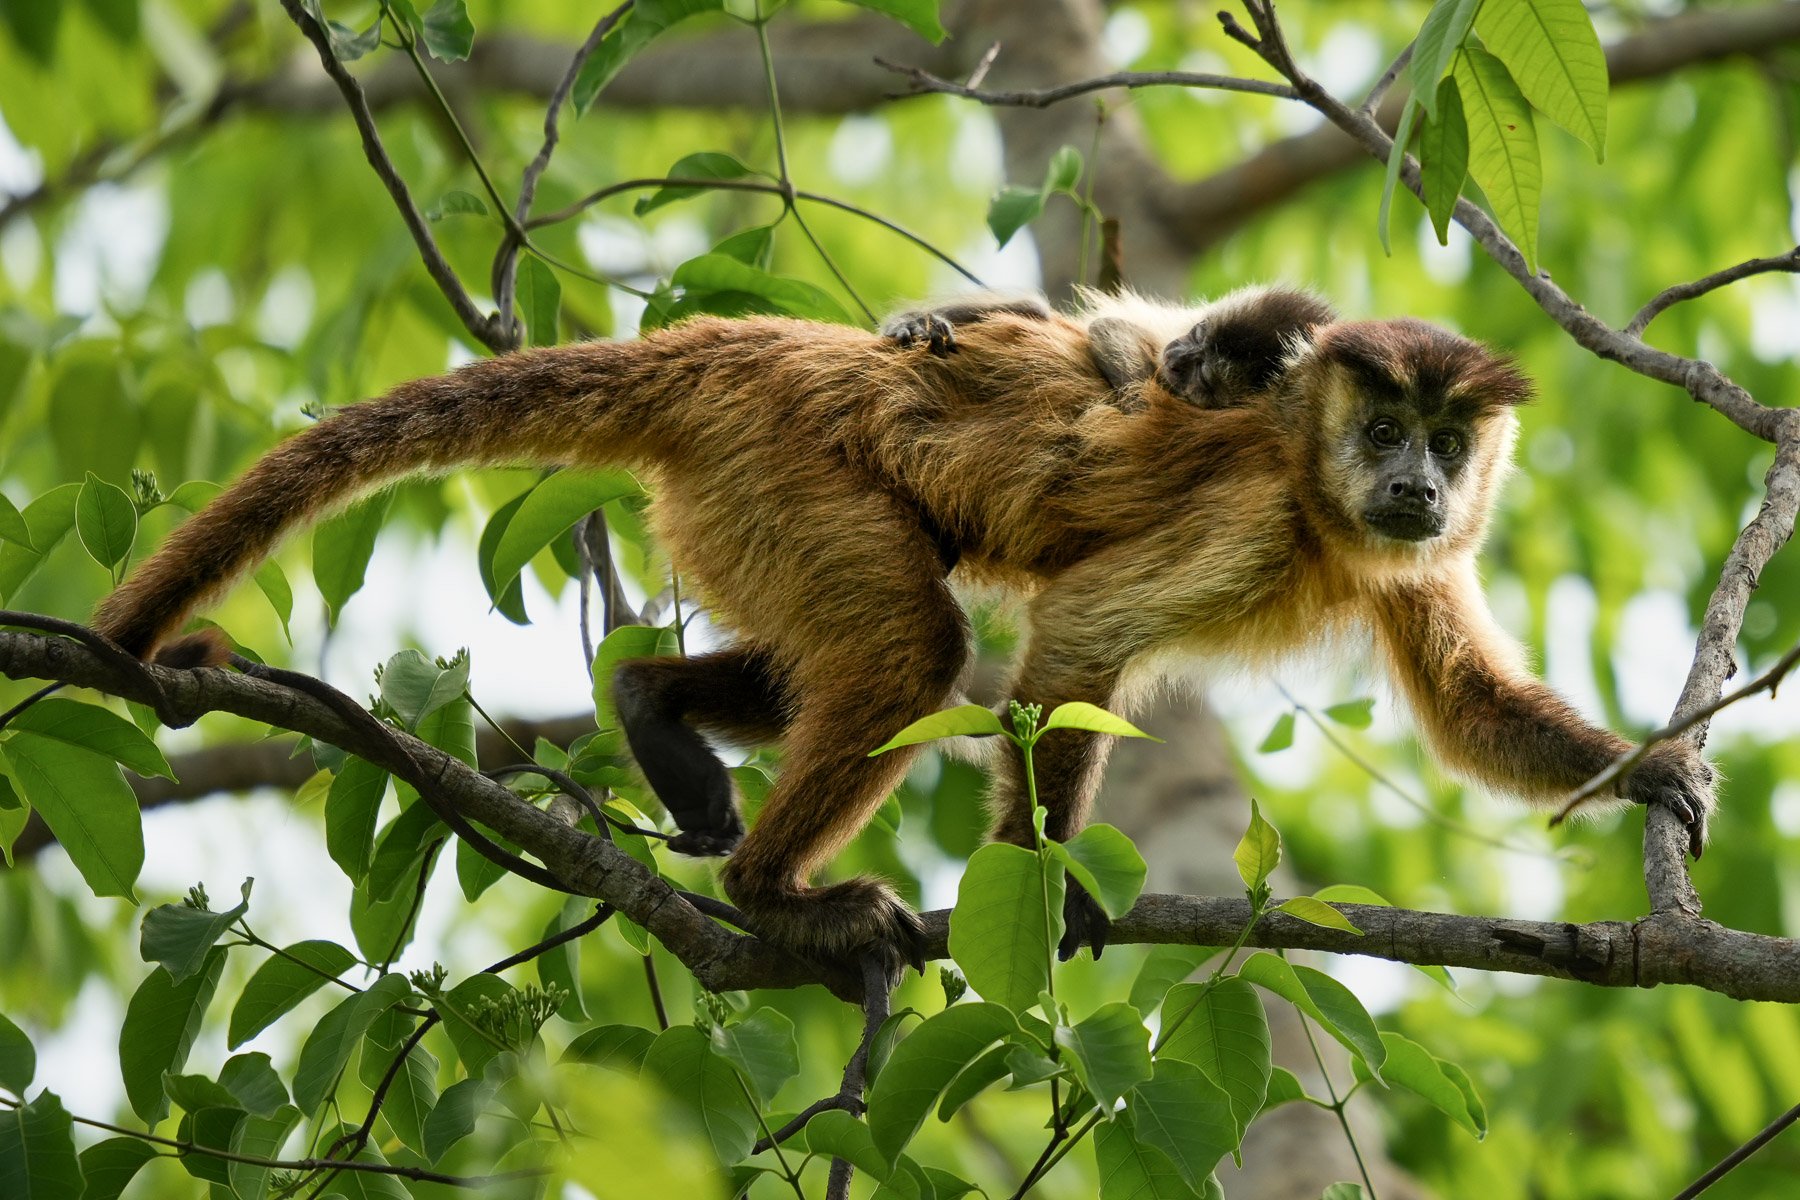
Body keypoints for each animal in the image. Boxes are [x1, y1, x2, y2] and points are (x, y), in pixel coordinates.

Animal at [81, 293, 1715, 980]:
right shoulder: (1261, 509)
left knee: (869, 648)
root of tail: (747, 347)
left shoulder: (1410, 556)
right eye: (1384, 427)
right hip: (788, 459)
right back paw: (769, 892)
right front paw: (1047, 888)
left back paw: (654, 707)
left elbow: (1464, 699)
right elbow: (1076, 642)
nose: (1418, 483)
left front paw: (1644, 772)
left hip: (741, 493)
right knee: (920, 653)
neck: (1322, 491)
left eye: (1446, 440)